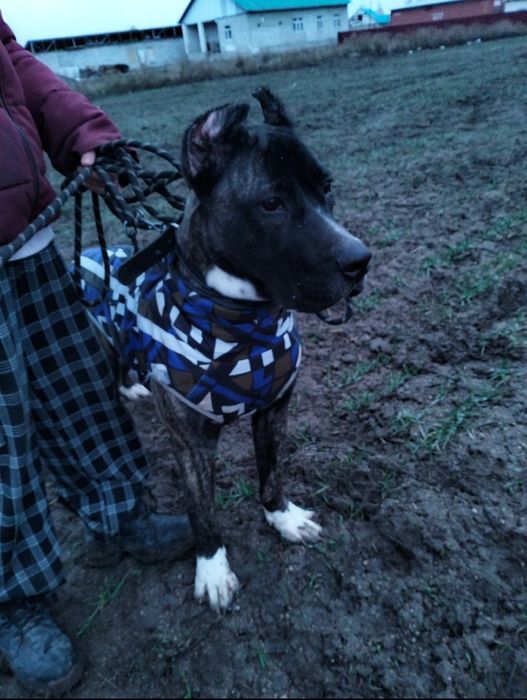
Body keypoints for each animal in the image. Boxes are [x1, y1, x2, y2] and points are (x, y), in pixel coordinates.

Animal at [77, 88, 371, 611]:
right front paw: (212, 569)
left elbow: (272, 472)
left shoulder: (274, 410)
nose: (360, 260)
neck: (242, 320)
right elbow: (203, 512)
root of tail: (93, 251)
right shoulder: (191, 444)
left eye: (327, 187)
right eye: (271, 203)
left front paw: (283, 518)